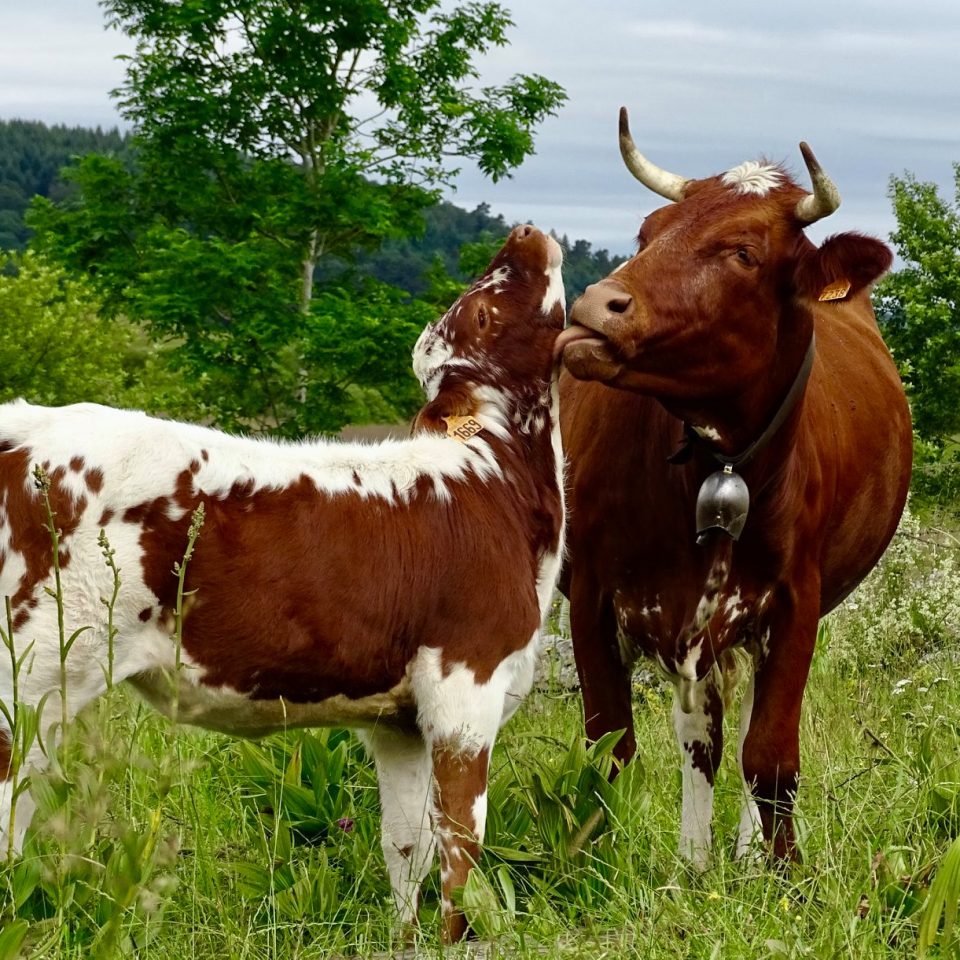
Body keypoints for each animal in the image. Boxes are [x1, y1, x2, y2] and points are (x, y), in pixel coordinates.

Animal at [0, 223, 568, 936]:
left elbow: (405, 844)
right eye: (486, 310)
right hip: (26, 672)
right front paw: (457, 940)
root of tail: (29, 423)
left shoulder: (400, 720)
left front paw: (406, 939)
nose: (525, 231)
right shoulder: (466, 685)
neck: (501, 487)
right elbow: (460, 847)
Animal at [552, 109, 912, 868]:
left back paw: (742, 855)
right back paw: (696, 859)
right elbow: (611, 748)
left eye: (744, 253)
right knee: (701, 738)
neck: (716, 466)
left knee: (739, 730)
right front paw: (597, 862)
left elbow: (770, 755)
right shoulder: (596, 597)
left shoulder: (796, 603)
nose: (595, 305)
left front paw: (782, 870)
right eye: (649, 232)